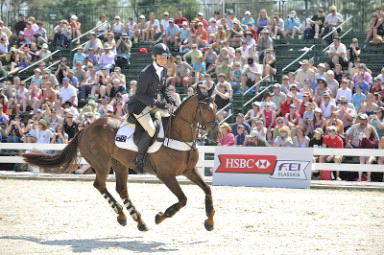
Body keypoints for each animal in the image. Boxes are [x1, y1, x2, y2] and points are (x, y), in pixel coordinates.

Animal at [23, 88, 219, 232]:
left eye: (216, 107)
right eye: (205, 109)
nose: (216, 134)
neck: (177, 134)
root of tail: (85, 129)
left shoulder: (189, 171)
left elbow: (208, 189)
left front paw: (209, 222)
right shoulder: (166, 175)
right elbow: (183, 199)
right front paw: (160, 216)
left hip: (119, 164)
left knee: (121, 189)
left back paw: (138, 220)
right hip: (102, 164)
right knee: (100, 185)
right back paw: (122, 215)